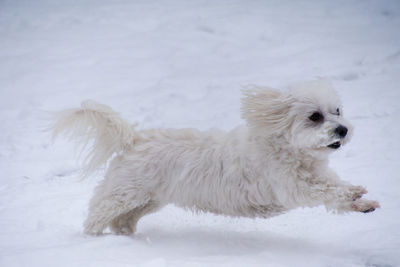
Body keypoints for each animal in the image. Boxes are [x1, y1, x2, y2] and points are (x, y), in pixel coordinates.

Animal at [52, 80, 378, 236]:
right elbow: (325, 190)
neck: (287, 147)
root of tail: (134, 139)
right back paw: (94, 239)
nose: (343, 129)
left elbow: (336, 192)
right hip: (123, 192)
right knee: (97, 214)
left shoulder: (316, 175)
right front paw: (353, 192)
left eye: (337, 110)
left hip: (149, 199)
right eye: (314, 116)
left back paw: (126, 237)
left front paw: (363, 203)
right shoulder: (292, 185)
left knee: (123, 221)